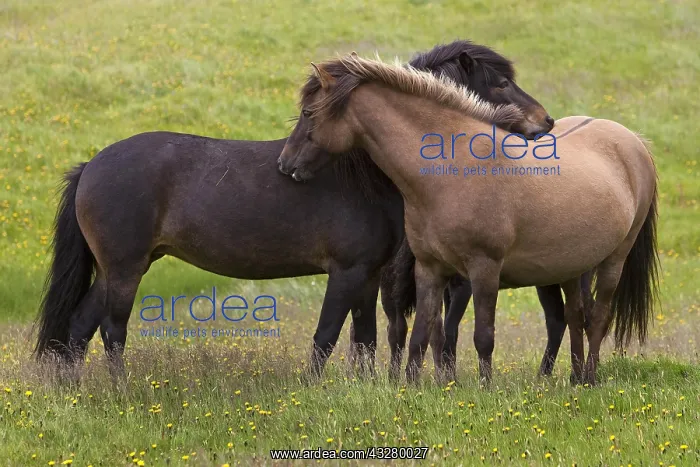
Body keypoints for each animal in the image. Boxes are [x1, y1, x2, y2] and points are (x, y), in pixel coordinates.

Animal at [33, 40, 556, 381]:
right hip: (125, 268)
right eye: (502, 83)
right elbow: (327, 336)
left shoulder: (368, 274)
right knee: (110, 329)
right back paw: (118, 391)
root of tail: (91, 165)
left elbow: (365, 339)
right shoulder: (346, 271)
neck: (365, 172)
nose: (545, 121)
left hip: (118, 268)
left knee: (79, 328)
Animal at [277, 54, 659, 386]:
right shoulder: (429, 269)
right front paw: (411, 387)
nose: (285, 164)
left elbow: (482, 336)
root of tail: (633, 142)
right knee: (575, 316)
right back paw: (575, 379)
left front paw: (484, 388)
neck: (453, 169)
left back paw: (590, 378)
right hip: (569, 267)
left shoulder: (482, 268)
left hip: (613, 260)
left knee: (598, 317)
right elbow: (422, 334)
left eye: (308, 112)